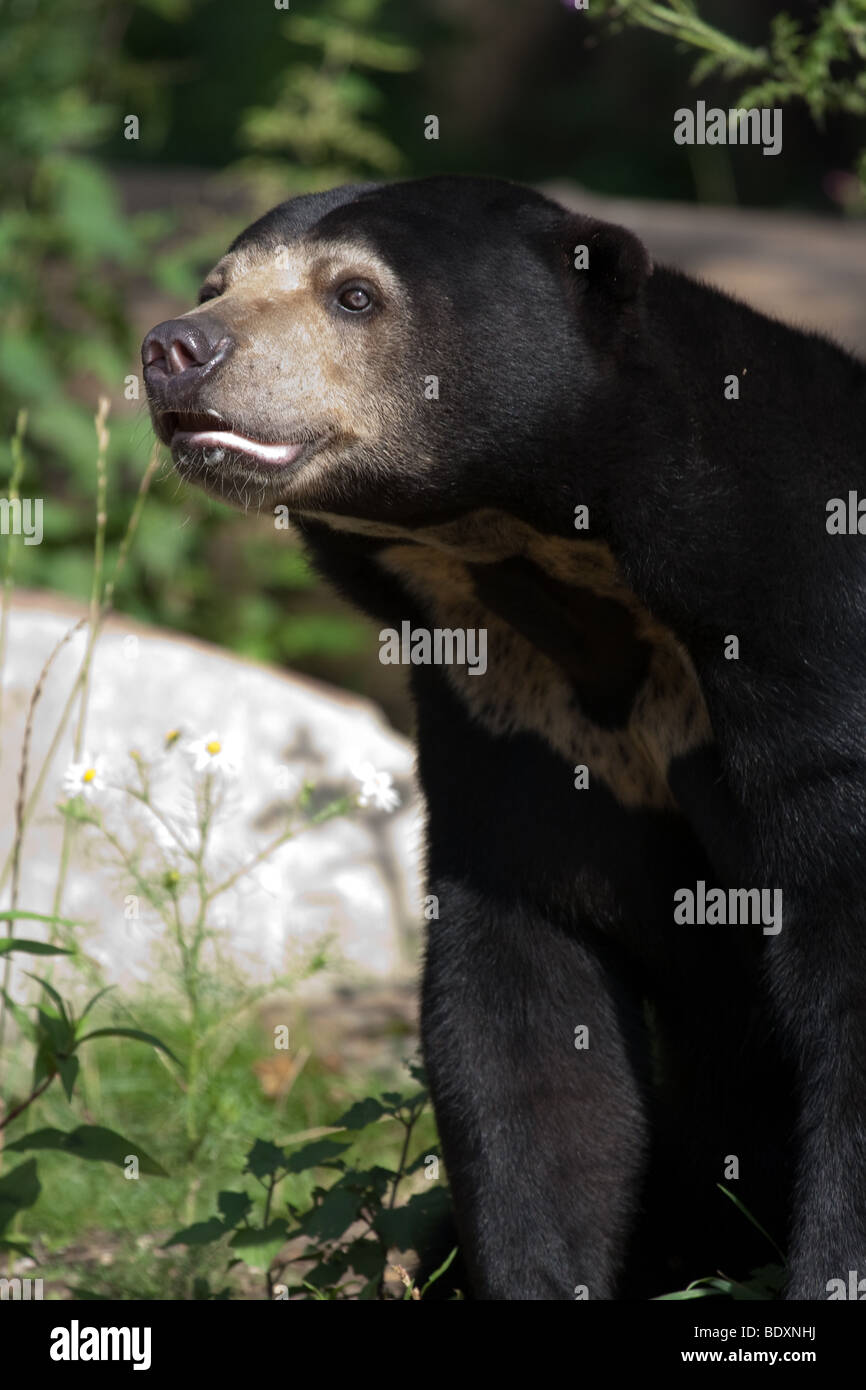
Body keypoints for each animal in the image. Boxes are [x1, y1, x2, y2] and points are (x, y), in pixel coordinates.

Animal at [142, 176, 866, 1301]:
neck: (550, 563)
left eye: (353, 293)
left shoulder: (812, 647)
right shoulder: (511, 713)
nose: (175, 346)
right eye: (216, 285)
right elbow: (523, 1005)